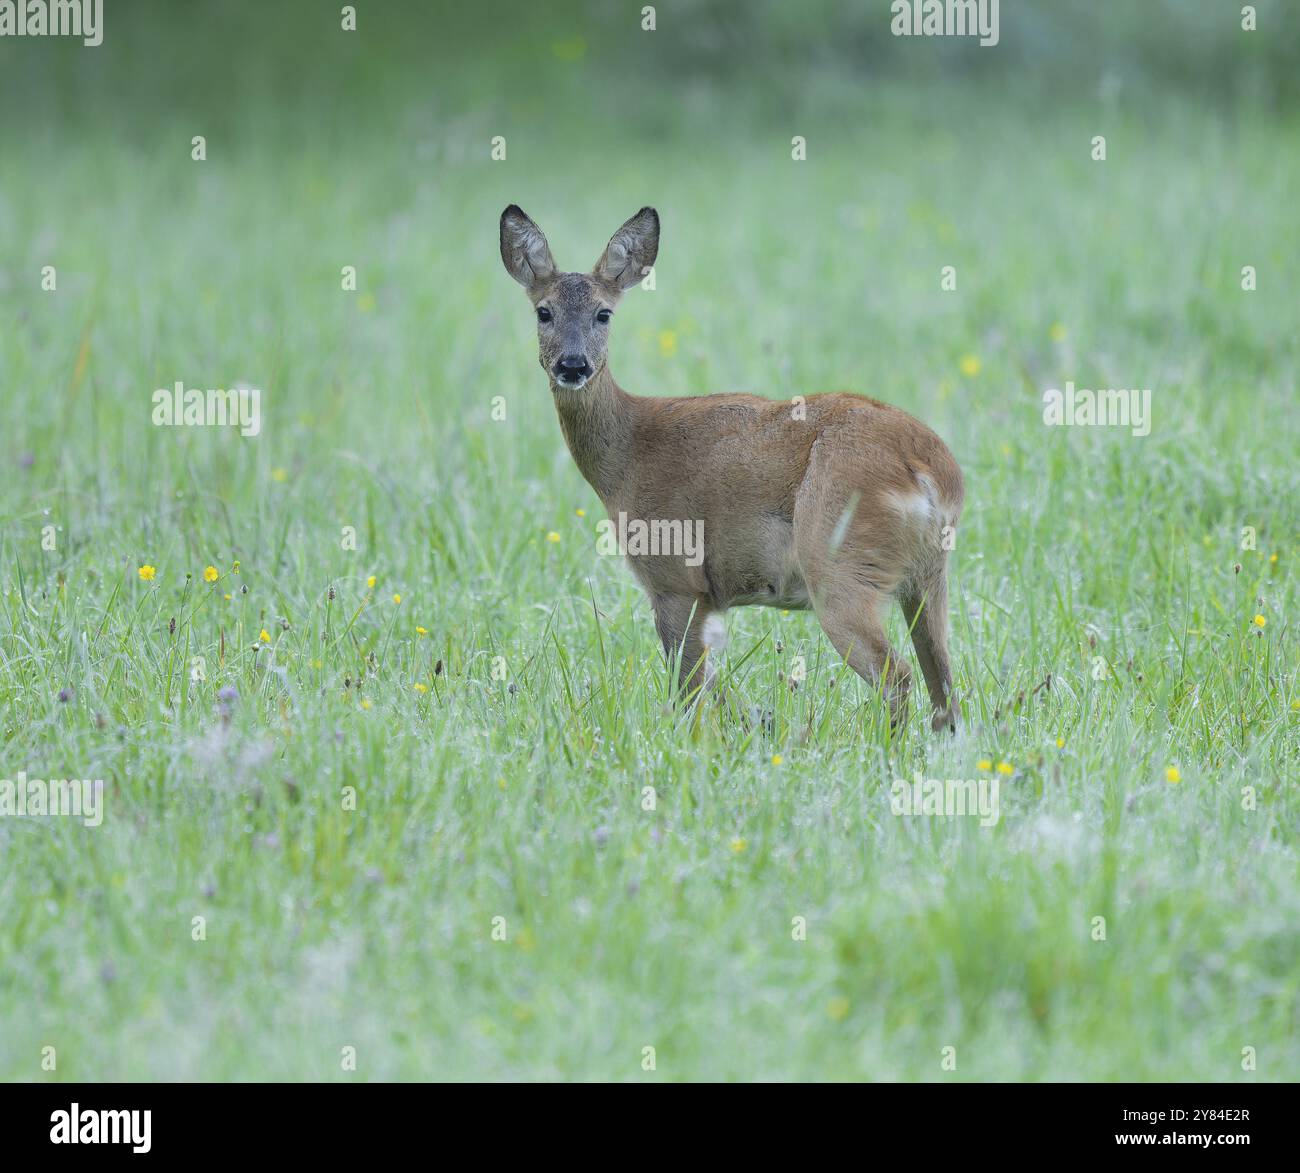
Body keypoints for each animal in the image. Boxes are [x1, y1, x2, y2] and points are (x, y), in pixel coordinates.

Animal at [496, 206, 967, 728]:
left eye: (604, 313)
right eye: (544, 311)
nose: (573, 365)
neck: (626, 455)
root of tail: (932, 471)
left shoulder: (675, 577)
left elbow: (687, 689)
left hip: (840, 565)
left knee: (897, 677)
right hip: (927, 577)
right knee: (944, 685)